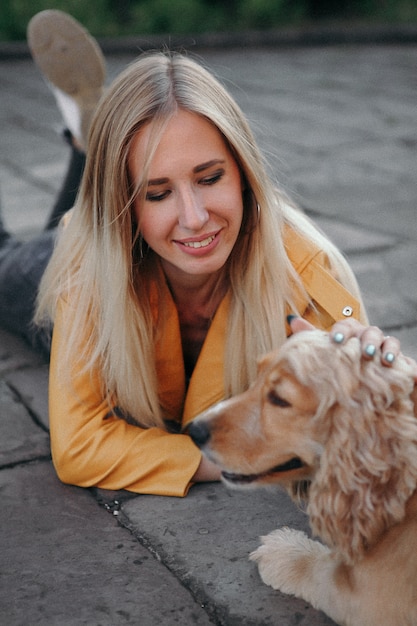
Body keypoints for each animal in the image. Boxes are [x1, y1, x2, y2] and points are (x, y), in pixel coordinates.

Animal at [188, 330, 416, 620]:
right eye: (256, 378)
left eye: (279, 399)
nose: (193, 431)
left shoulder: (372, 598)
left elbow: (323, 570)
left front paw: (283, 550)